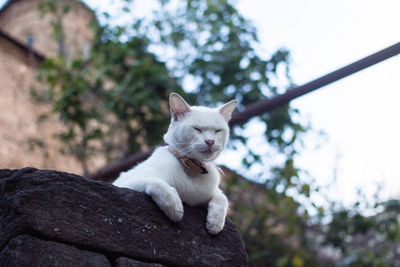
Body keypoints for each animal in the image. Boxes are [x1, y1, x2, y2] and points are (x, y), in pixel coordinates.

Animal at [112, 92, 238, 234]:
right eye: (197, 129)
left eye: (218, 131)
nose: (210, 141)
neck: (192, 168)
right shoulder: (126, 183)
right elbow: (158, 183)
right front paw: (175, 208)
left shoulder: (209, 193)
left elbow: (222, 198)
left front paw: (215, 223)